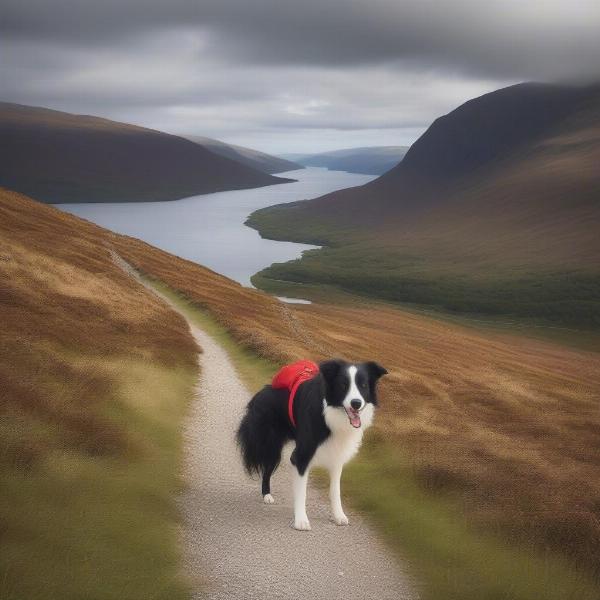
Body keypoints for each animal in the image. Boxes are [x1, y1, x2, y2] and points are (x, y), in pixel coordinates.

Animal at [237, 356, 386, 528]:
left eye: (363, 385)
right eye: (343, 385)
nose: (356, 403)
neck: (330, 414)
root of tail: (261, 393)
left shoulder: (337, 455)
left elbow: (335, 490)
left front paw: (338, 516)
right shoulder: (301, 456)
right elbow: (302, 491)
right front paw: (301, 521)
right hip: (270, 446)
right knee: (267, 470)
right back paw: (266, 495)